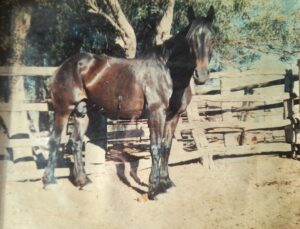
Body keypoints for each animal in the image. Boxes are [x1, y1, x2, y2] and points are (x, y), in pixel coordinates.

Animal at [43, 5, 214, 199]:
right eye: (190, 39)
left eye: (212, 38)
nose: (201, 75)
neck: (168, 72)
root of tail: (63, 67)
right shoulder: (156, 114)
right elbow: (155, 147)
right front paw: (154, 188)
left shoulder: (174, 117)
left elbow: (166, 147)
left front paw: (167, 182)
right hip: (63, 110)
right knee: (54, 140)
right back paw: (50, 182)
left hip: (82, 113)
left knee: (76, 143)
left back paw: (83, 181)